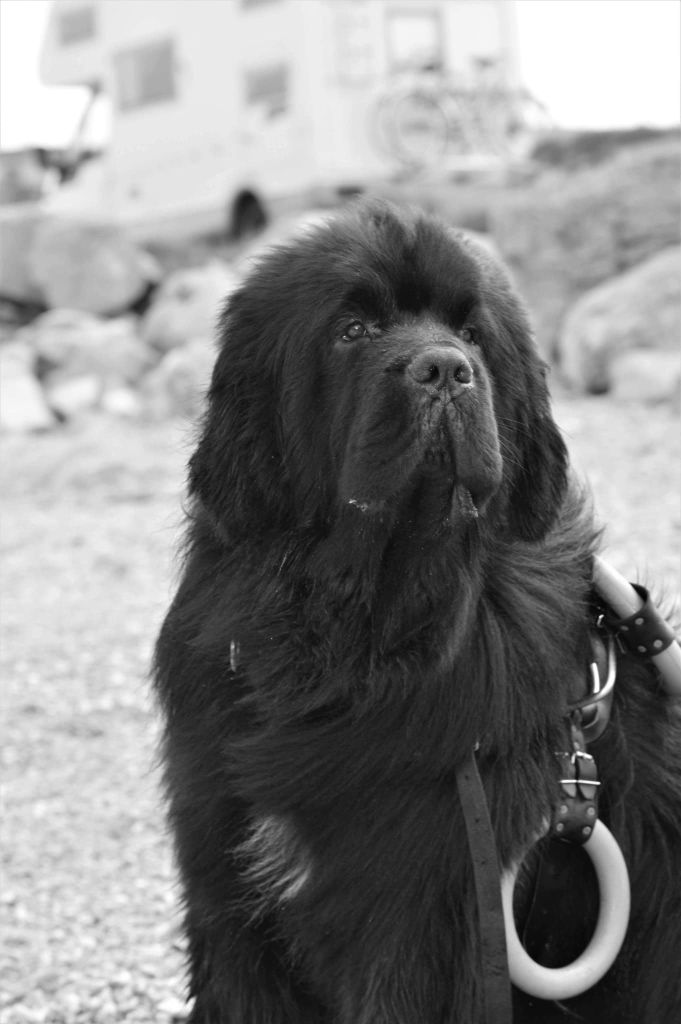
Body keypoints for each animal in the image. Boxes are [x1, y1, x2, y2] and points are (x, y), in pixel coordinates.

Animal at [154, 201, 681, 1023]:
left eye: (472, 333)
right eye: (351, 329)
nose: (443, 368)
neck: (360, 629)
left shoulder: (419, 928)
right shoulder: (226, 899)